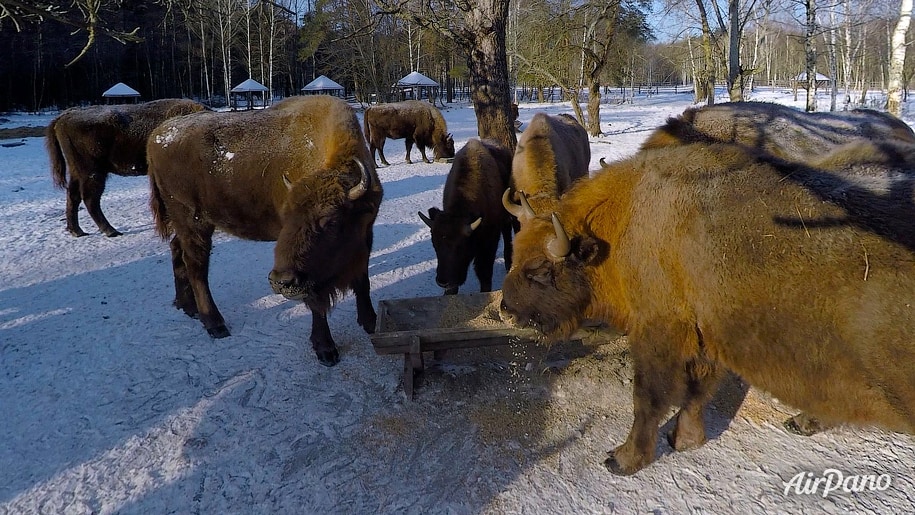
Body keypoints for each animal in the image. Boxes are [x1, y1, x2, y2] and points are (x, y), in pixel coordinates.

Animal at [45, 98, 206, 237]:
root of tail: (64, 117)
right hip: (92, 172)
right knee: (90, 199)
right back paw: (111, 231)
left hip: (77, 172)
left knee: (73, 196)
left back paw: (77, 231)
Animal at [148, 95, 382, 366]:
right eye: (286, 217)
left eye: (331, 221)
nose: (280, 281)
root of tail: (156, 136)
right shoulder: (312, 276)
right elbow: (317, 303)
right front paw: (326, 350)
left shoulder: (365, 237)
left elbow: (363, 281)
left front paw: (371, 322)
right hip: (194, 222)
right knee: (197, 268)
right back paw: (215, 325)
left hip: (186, 224)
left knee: (177, 251)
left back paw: (187, 307)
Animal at [420, 139, 516, 296]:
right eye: (434, 244)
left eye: (460, 246)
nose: (442, 281)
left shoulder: (489, 241)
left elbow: (484, 273)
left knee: (508, 232)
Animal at [500, 138, 915, 476]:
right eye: (516, 253)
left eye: (541, 269)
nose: (506, 309)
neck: (631, 217)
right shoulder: (704, 334)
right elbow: (697, 391)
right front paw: (685, 441)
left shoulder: (660, 329)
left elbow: (648, 397)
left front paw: (623, 459)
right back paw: (802, 422)